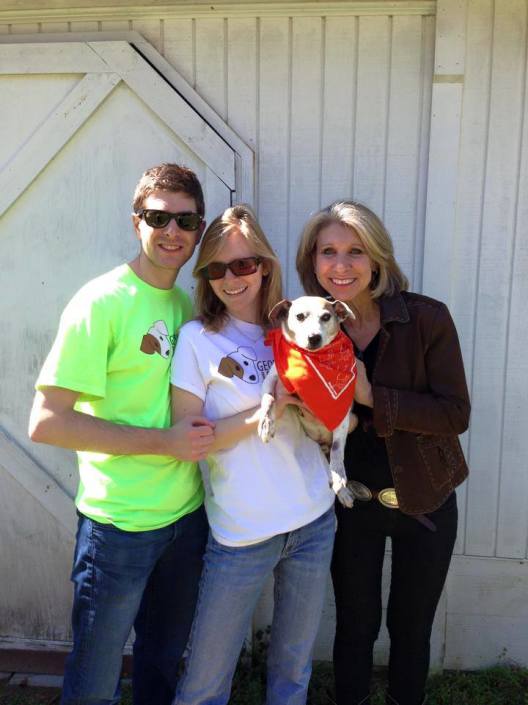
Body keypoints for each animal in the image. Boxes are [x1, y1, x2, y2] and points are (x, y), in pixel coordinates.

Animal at [256, 296, 356, 506]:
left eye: (326, 317)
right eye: (299, 316)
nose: (314, 337)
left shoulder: (343, 417)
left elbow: (337, 450)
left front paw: (338, 475)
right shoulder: (270, 380)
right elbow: (268, 400)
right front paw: (266, 425)